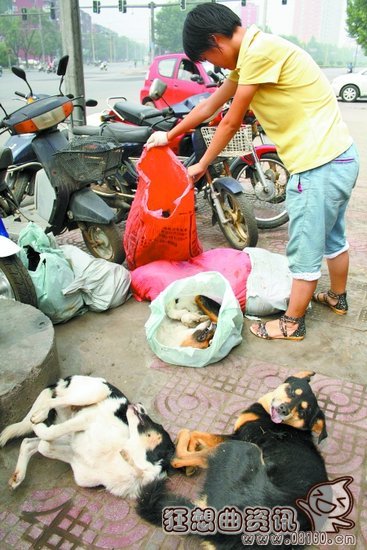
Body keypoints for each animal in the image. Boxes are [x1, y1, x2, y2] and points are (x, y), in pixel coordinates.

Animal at [0, 376, 175, 500]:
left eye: (159, 426)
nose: (138, 403)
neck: (124, 457)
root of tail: (66, 378)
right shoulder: (87, 419)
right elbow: (48, 434)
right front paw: (39, 425)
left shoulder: (73, 453)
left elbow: (44, 445)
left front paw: (40, 429)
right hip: (95, 392)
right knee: (52, 400)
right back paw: (39, 415)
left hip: (68, 429)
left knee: (28, 442)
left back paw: (18, 475)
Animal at [137, 374, 330, 548]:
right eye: (291, 391)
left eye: (303, 411)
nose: (283, 409)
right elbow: (197, 437)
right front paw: (194, 451)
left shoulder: (236, 436)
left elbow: (192, 432)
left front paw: (190, 447)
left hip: (240, 448)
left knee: (179, 457)